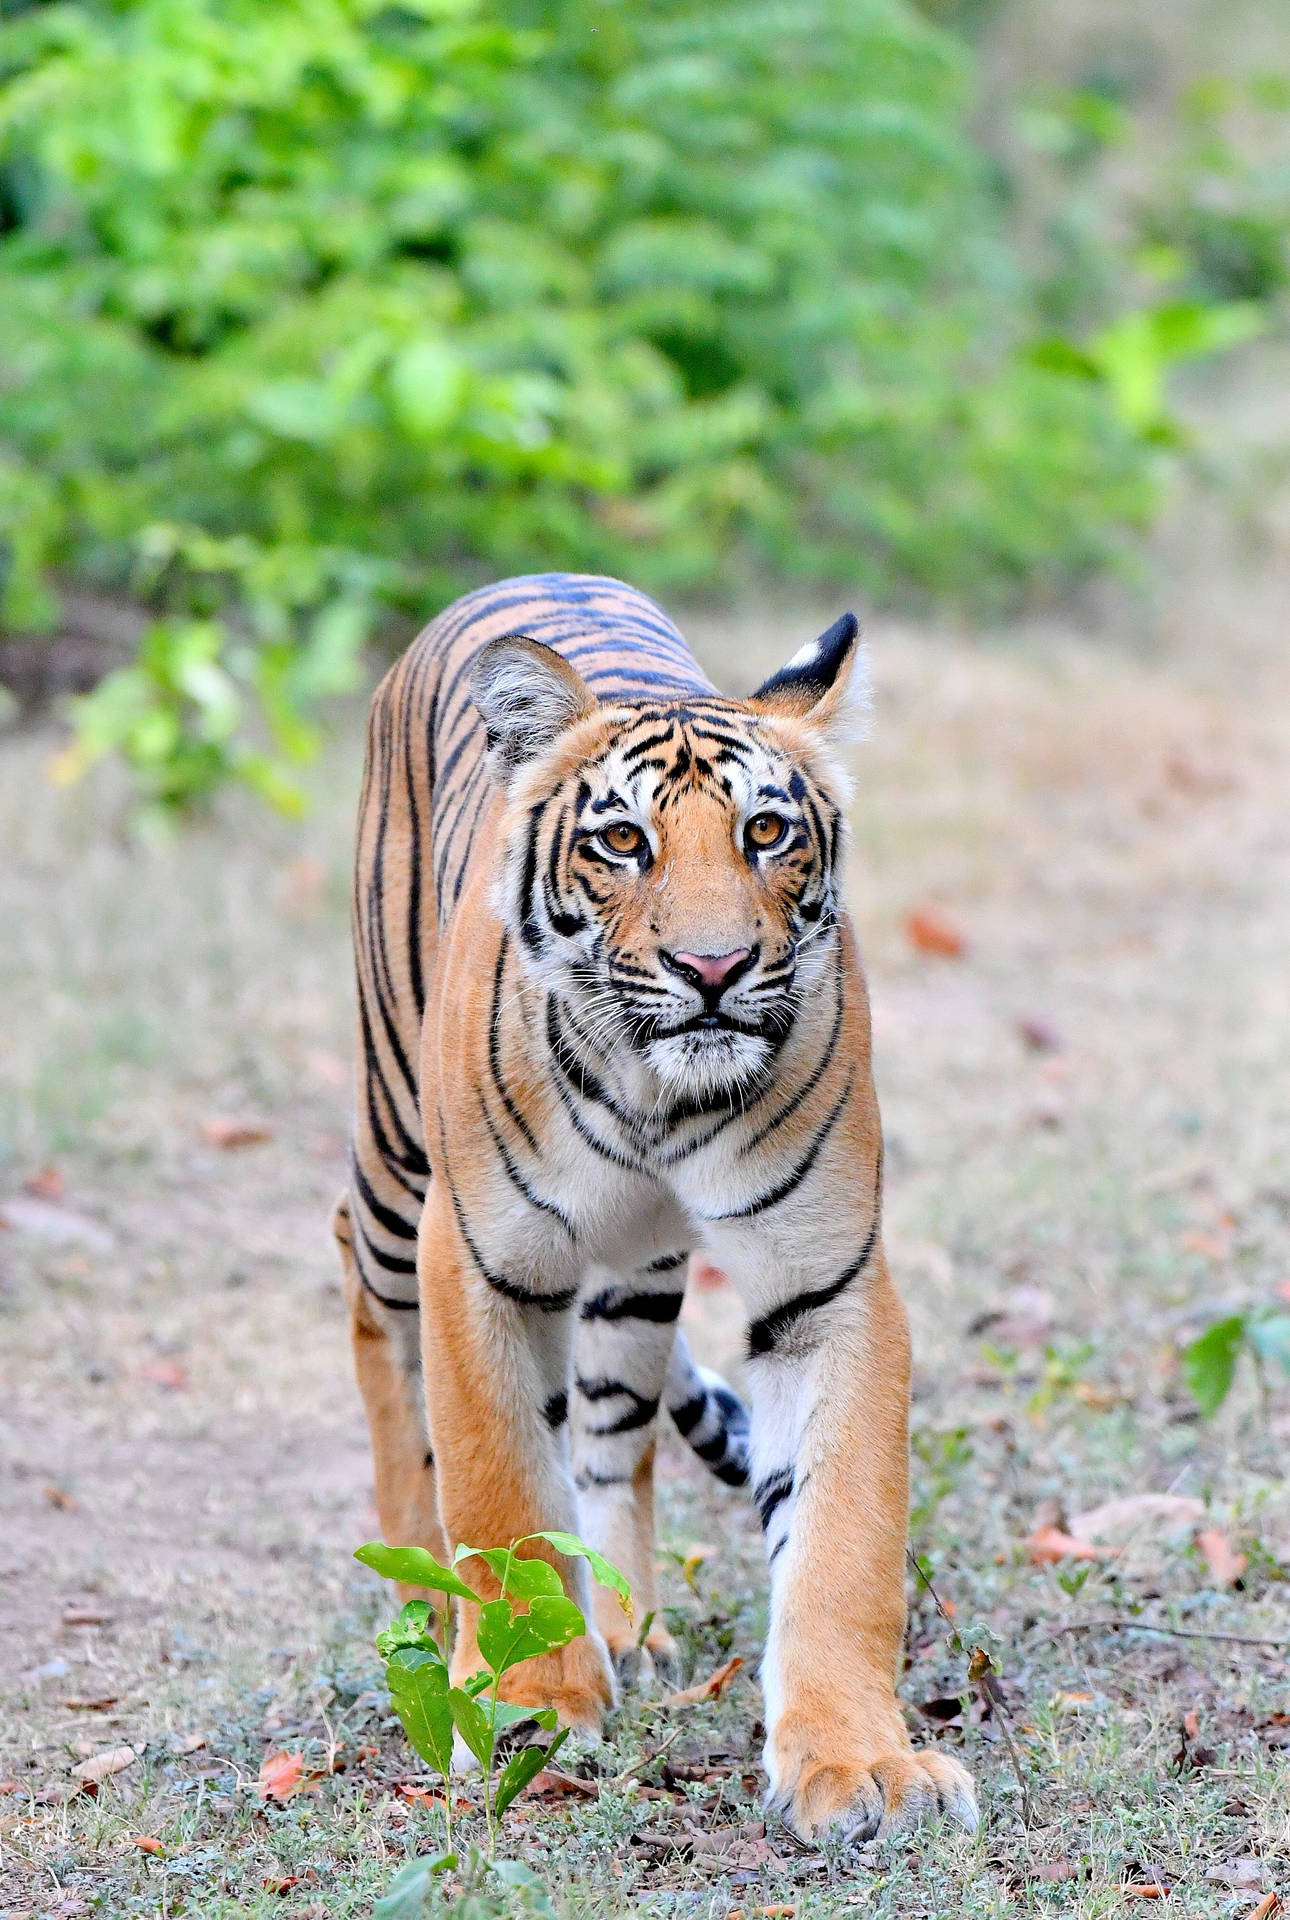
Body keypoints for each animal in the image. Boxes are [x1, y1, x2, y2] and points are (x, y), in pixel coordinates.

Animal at [332, 572, 977, 1845]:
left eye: (766, 831)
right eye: (622, 841)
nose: (714, 969)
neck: (655, 1097)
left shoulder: (826, 1284)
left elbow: (842, 1542)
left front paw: (859, 1762)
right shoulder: (474, 1256)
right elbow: (498, 1495)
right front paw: (529, 1702)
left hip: (634, 1279)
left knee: (611, 1432)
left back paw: (626, 1625)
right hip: (392, 1158)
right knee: (369, 1301)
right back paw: (419, 1584)